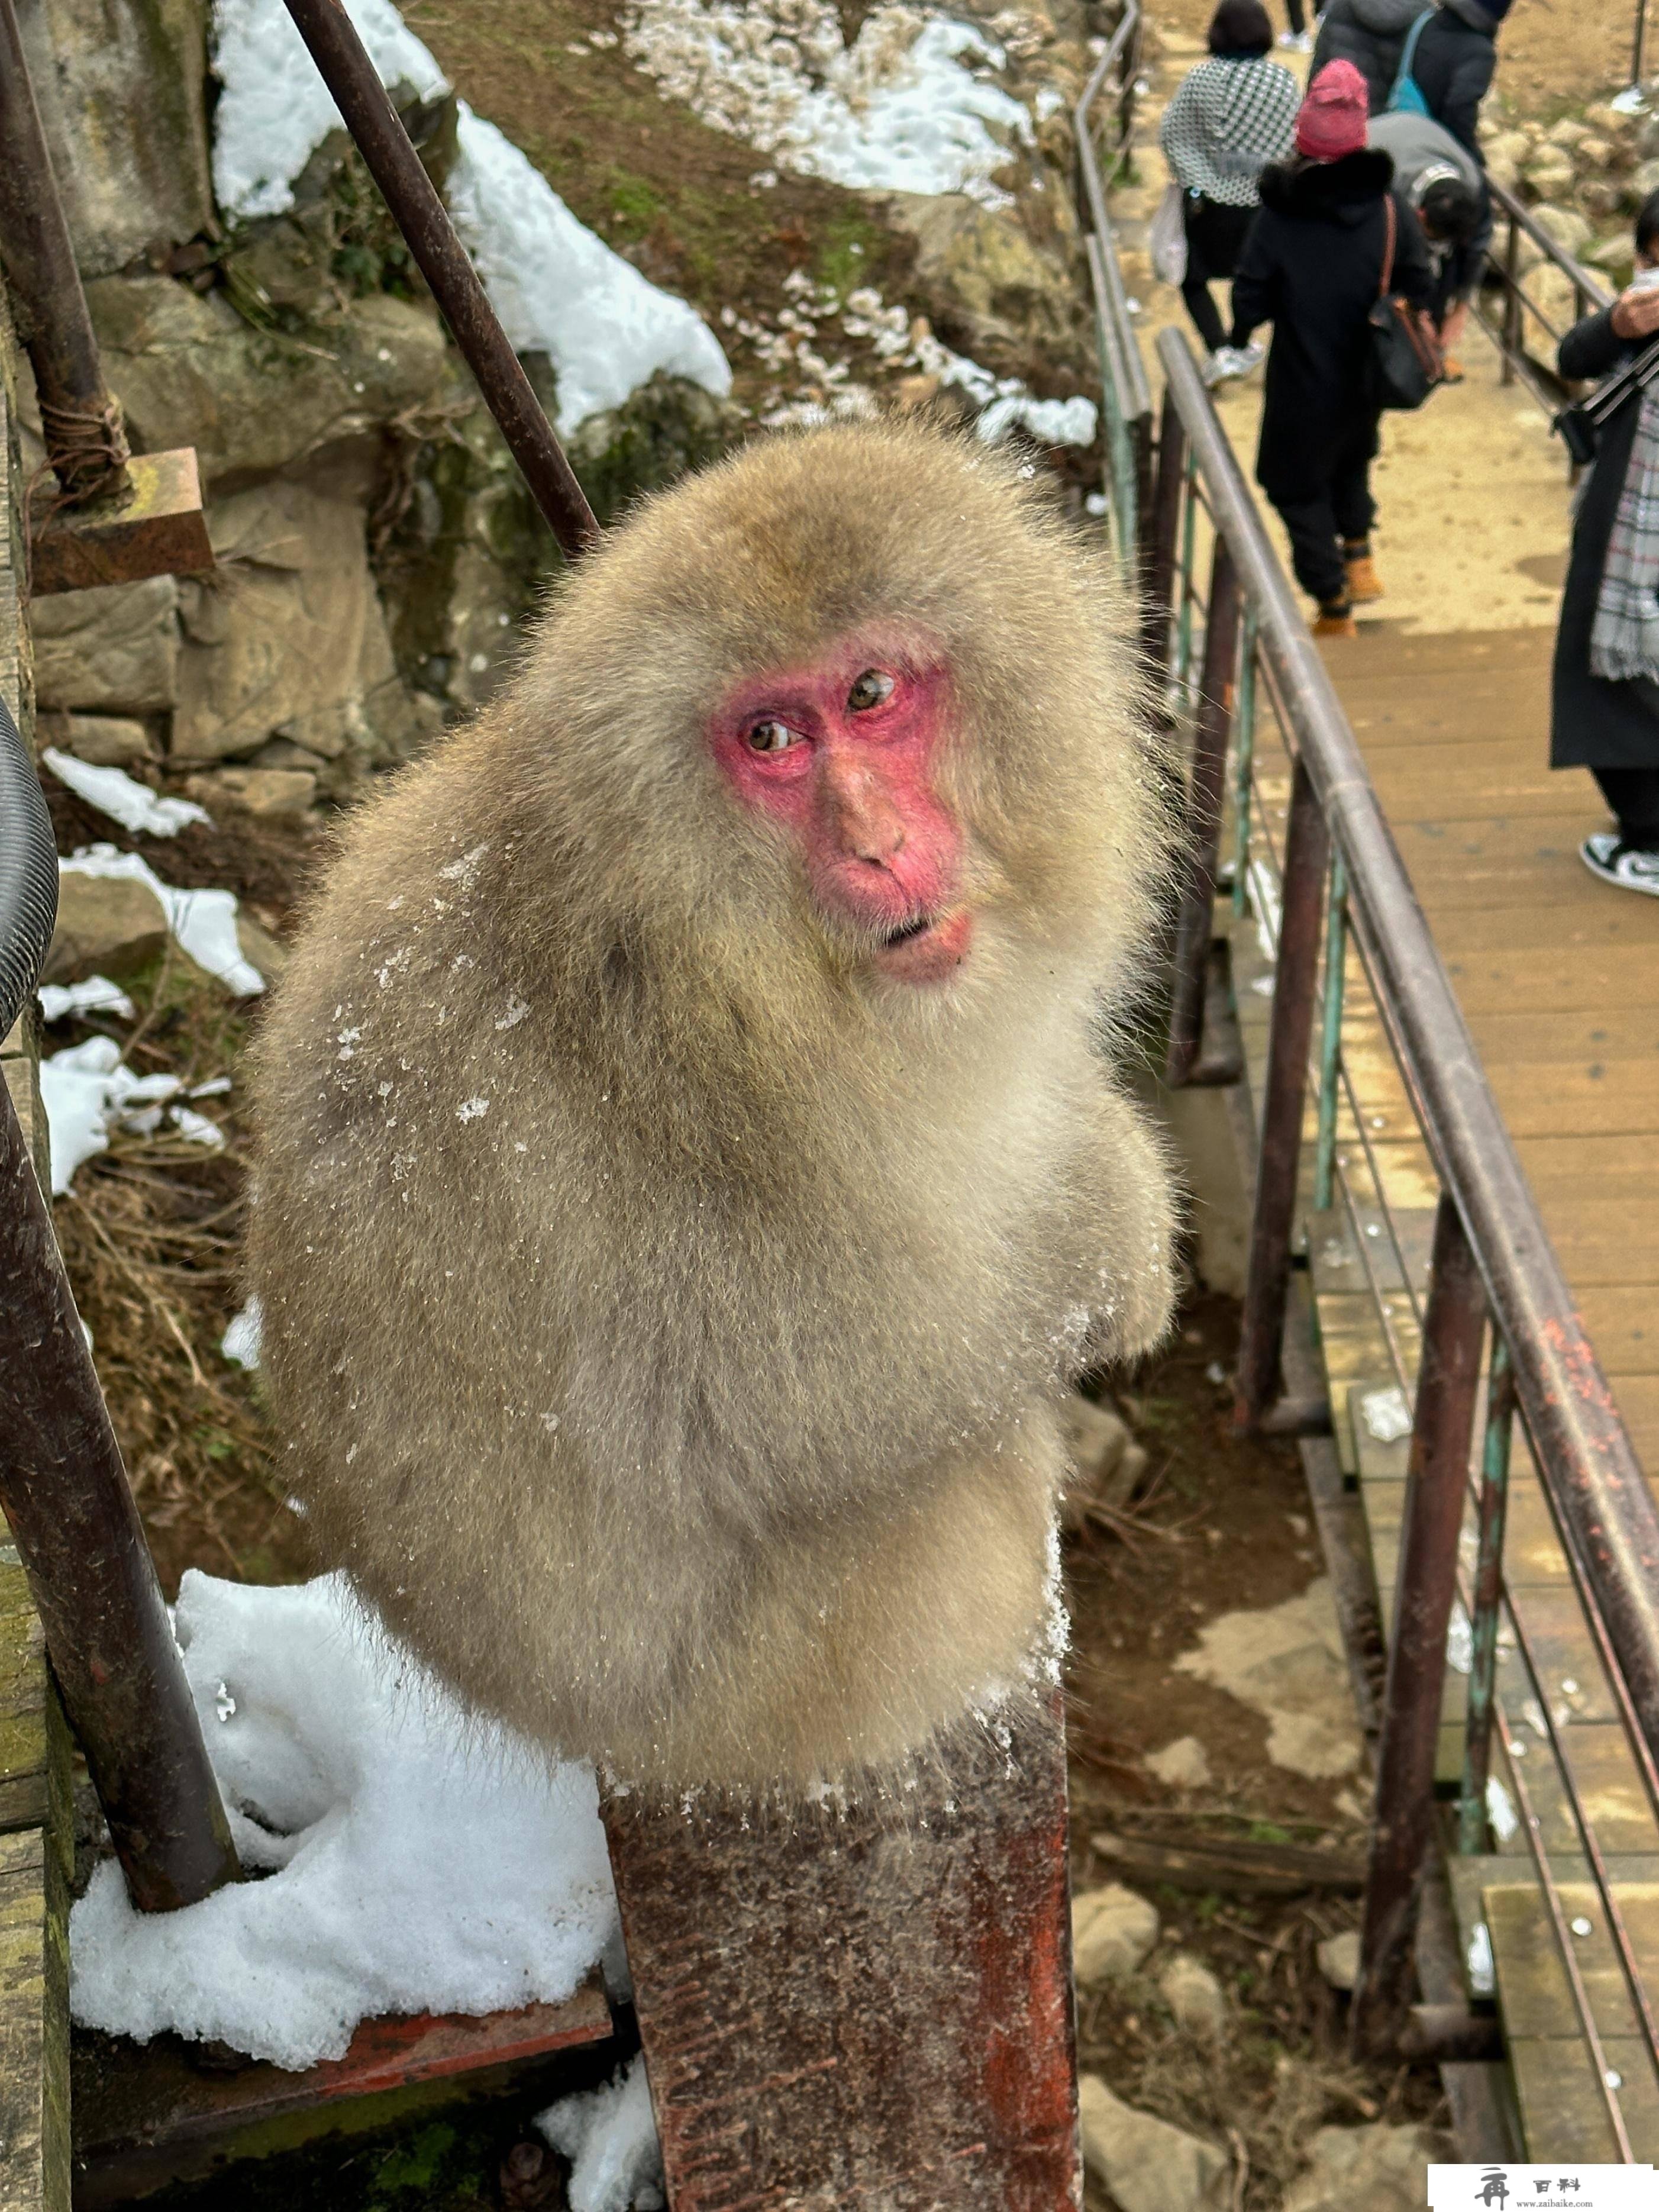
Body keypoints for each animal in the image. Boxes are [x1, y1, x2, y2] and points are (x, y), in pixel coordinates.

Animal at [246, 418, 1185, 1796]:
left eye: (868, 695)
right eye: (771, 739)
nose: (874, 844)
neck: (704, 946)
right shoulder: (670, 1113)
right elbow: (794, 1403)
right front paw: (1116, 1241)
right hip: (788, 1679)